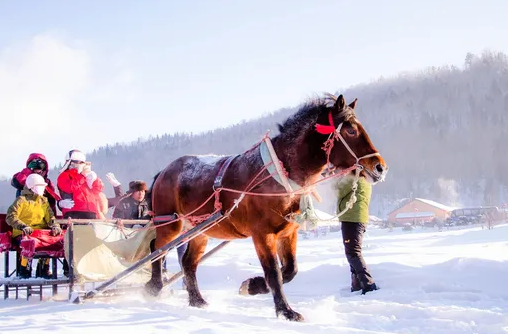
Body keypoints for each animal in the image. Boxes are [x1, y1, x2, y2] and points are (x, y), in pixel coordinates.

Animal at [145, 93, 386, 320]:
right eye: (351, 130)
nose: (380, 167)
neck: (281, 173)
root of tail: (164, 171)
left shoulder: (287, 233)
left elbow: (289, 271)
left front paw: (252, 286)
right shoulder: (262, 234)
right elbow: (274, 274)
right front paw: (286, 311)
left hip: (201, 231)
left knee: (188, 263)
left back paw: (197, 300)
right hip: (170, 225)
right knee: (156, 250)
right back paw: (154, 286)